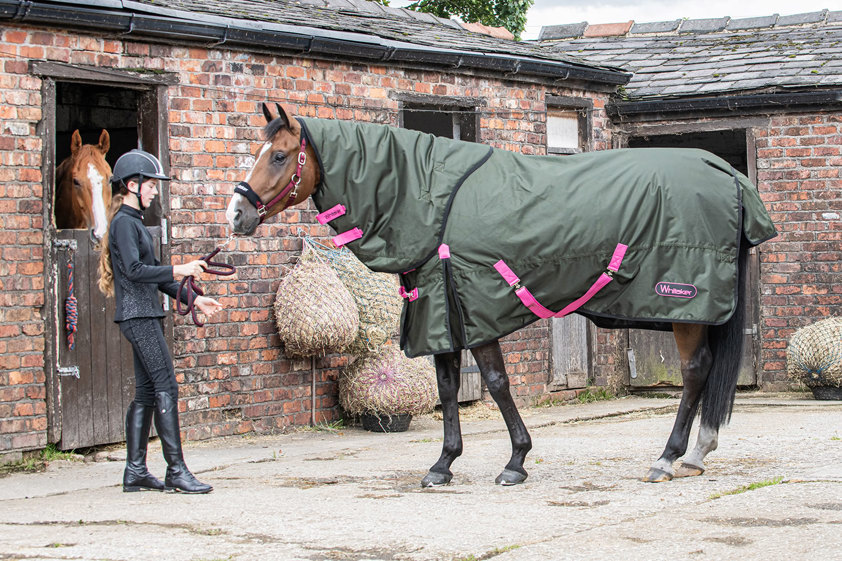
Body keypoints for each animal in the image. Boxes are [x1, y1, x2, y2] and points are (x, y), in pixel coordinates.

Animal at [226, 103, 777, 487]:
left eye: (279, 156)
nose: (237, 214)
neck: (429, 199)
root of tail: (726, 173)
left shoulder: (474, 306)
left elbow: (495, 382)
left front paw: (515, 461)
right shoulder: (440, 311)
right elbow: (449, 387)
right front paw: (443, 464)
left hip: (686, 305)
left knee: (694, 372)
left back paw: (669, 457)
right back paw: (695, 454)